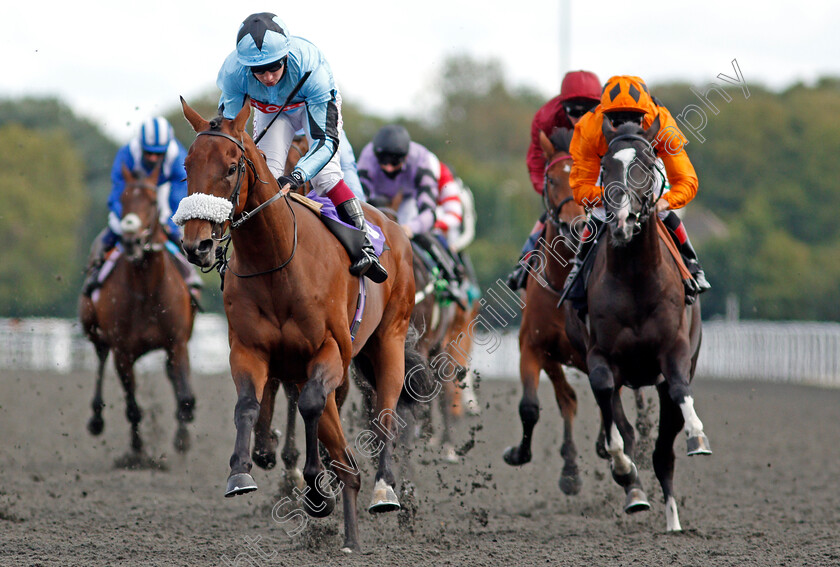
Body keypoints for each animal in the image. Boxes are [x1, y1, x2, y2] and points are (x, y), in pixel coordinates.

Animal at [78, 163, 197, 458]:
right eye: (122, 199)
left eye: (153, 201)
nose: (131, 240)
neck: (147, 291)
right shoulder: (123, 351)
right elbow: (132, 407)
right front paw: (137, 450)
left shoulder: (177, 342)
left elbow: (185, 398)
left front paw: (182, 437)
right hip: (94, 330)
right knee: (100, 357)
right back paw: (96, 418)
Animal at [180, 98, 424, 556]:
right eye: (187, 165)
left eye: (231, 166)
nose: (196, 244)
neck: (276, 261)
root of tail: (393, 226)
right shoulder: (250, 351)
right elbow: (248, 405)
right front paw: (241, 472)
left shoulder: (328, 350)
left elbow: (311, 404)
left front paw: (314, 489)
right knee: (345, 451)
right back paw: (348, 534)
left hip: (389, 340)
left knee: (383, 414)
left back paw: (383, 489)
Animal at [568, 115, 712, 532]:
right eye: (606, 167)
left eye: (647, 164)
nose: (623, 220)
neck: (635, 277)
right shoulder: (600, 357)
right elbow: (615, 424)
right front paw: (623, 470)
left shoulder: (674, 350)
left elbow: (680, 389)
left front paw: (698, 435)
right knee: (625, 428)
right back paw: (634, 492)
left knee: (664, 453)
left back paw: (673, 521)